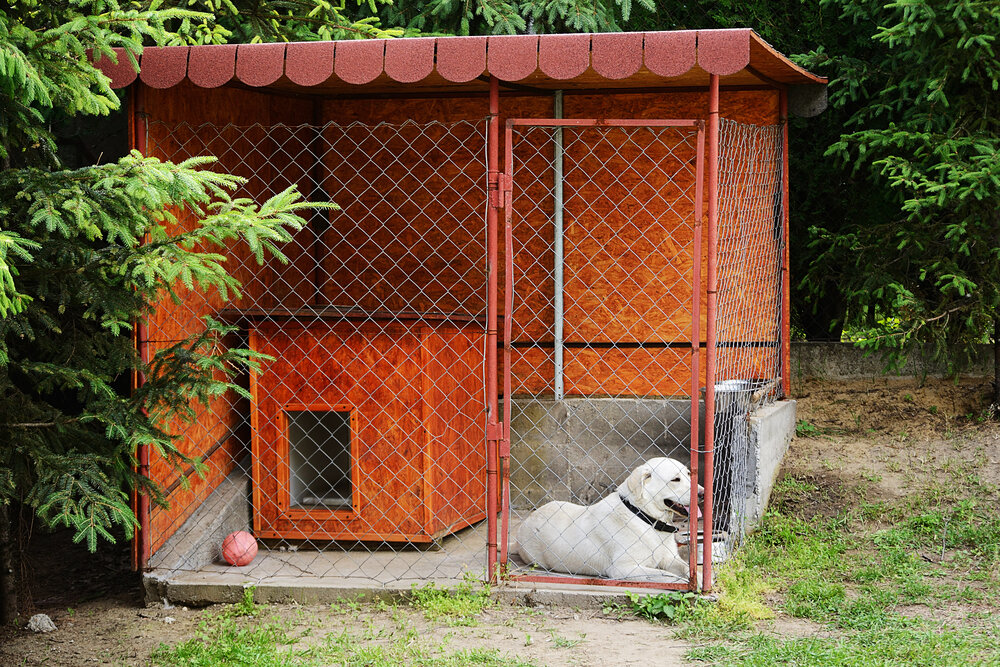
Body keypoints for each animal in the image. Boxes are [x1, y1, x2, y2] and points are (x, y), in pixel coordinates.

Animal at [516, 460, 704, 580]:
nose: (702, 493)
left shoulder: (670, 558)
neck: (644, 517)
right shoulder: (624, 568)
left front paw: (700, 580)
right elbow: (667, 575)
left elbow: (687, 568)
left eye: (689, 474)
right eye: (675, 479)